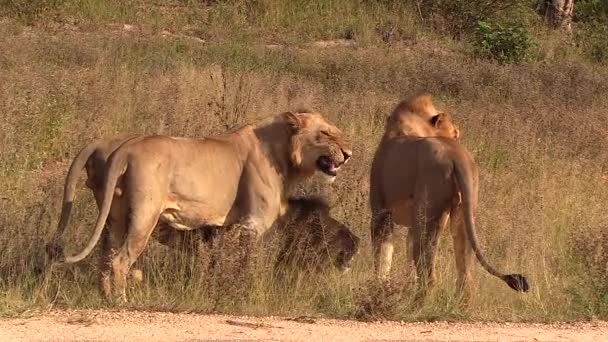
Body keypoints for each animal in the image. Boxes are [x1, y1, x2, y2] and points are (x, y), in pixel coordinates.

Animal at [46, 111, 352, 300]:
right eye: (326, 134)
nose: (348, 154)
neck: (285, 155)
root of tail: (125, 149)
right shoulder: (251, 225)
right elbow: (246, 265)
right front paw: (243, 294)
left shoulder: (225, 228)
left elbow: (220, 264)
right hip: (144, 214)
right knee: (121, 259)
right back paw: (120, 302)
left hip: (115, 213)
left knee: (106, 256)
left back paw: (105, 296)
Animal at [368, 93, 528, 300]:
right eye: (455, 132)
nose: (458, 137)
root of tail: (455, 154)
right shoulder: (410, 223)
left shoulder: (380, 211)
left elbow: (382, 258)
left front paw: (379, 289)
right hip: (462, 214)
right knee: (465, 275)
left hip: (428, 214)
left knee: (428, 274)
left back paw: (417, 303)